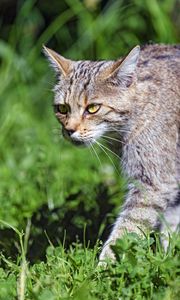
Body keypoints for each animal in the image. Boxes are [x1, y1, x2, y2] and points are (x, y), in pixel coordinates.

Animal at [43, 43, 180, 262]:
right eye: (62, 108)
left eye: (92, 108)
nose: (69, 130)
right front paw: (168, 254)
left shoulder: (155, 182)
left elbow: (127, 230)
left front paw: (104, 266)